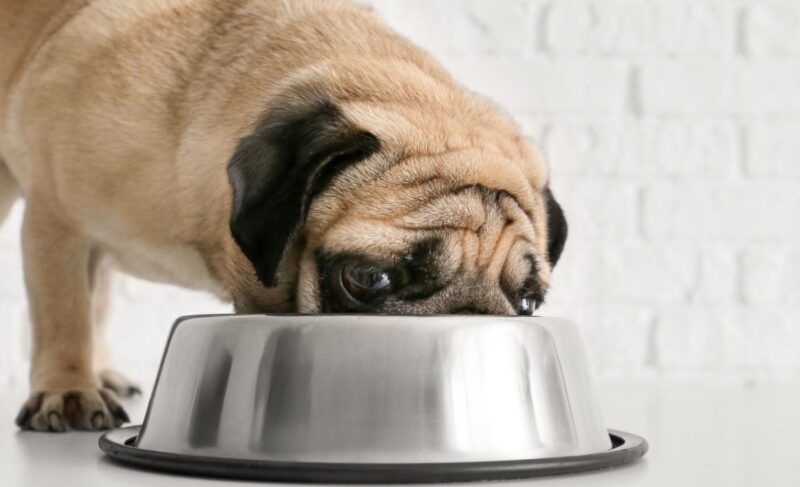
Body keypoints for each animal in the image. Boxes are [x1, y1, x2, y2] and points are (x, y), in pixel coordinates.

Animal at [0, 0, 568, 434]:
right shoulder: (57, 219)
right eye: (369, 279)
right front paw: (68, 390)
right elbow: (63, 311)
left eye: (528, 304)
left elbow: (84, 303)